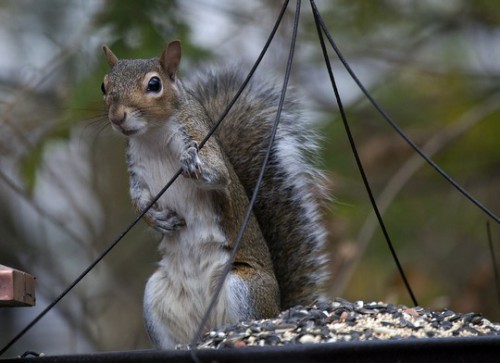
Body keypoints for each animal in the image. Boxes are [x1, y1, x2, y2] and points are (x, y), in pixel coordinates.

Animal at [101, 40, 328, 350]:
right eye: (104, 86)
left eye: (154, 84)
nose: (117, 117)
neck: (152, 135)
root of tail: (278, 308)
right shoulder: (136, 171)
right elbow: (138, 200)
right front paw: (155, 219)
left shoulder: (199, 136)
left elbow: (218, 175)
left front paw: (189, 162)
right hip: (155, 296)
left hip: (242, 285)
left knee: (246, 321)